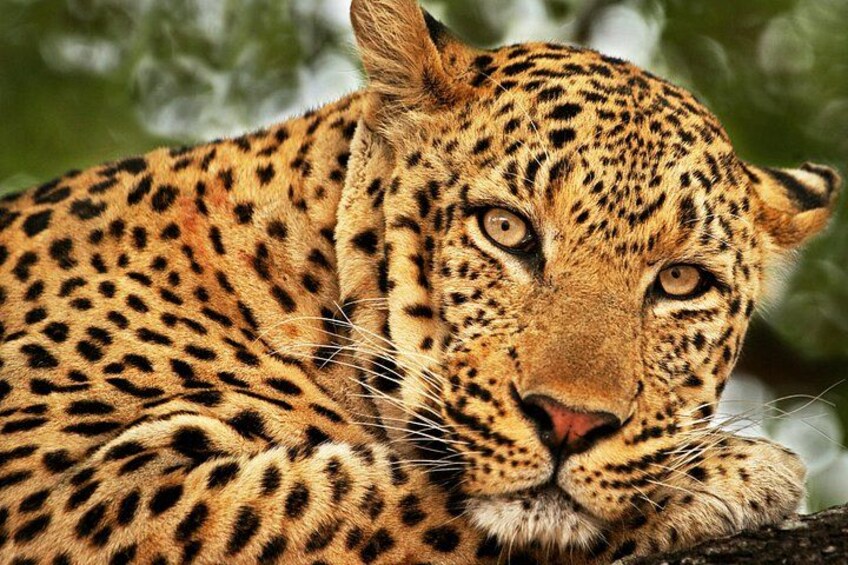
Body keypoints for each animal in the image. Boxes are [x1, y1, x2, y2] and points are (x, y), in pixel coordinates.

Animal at [0, 0, 842, 563]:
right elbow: (367, 497)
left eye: (680, 280)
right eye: (506, 228)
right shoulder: (59, 489)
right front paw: (732, 469)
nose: (570, 422)